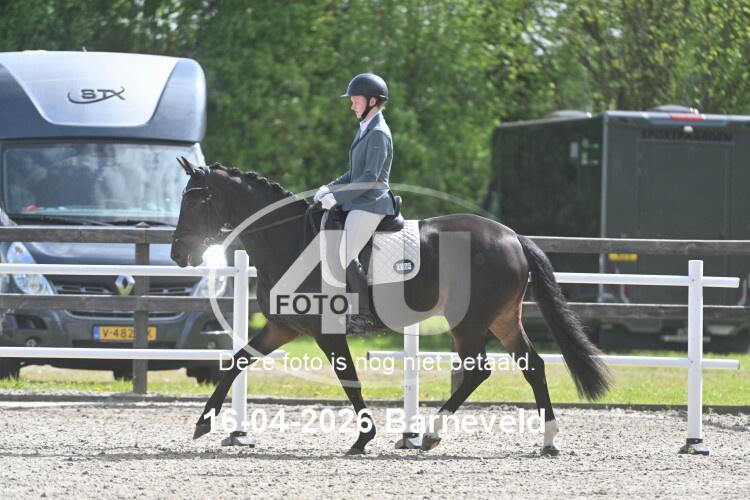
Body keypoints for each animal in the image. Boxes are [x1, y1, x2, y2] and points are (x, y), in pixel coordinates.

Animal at [170, 157, 611, 455]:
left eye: (194, 202)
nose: (177, 254)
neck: (288, 241)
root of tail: (512, 236)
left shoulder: (326, 332)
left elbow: (349, 379)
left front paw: (363, 439)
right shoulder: (285, 326)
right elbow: (236, 362)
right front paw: (203, 423)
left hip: (469, 321)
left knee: (478, 370)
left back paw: (431, 433)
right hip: (503, 319)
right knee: (531, 366)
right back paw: (548, 440)